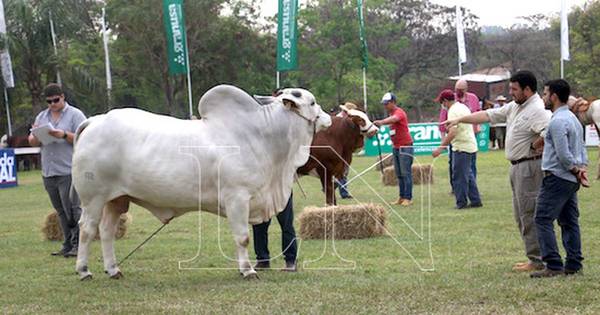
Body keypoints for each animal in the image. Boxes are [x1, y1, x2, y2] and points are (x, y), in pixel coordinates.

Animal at [74, 84, 332, 282]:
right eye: (312, 102)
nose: (329, 117)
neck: (261, 135)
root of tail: (95, 121)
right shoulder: (237, 199)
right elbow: (243, 237)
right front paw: (247, 271)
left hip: (117, 199)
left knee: (107, 231)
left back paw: (113, 270)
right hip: (93, 199)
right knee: (87, 229)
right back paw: (84, 271)